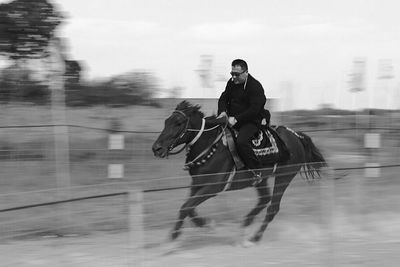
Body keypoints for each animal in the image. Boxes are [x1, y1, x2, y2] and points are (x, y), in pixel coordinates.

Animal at [152, 101, 326, 247]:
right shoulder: (197, 184)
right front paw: (205, 224)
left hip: (284, 177)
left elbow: (186, 207)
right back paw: (245, 225)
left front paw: (172, 238)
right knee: (264, 200)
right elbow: (189, 208)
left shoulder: (214, 187)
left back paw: (253, 238)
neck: (211, 146)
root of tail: (296, 136)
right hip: (261, 179)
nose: (156, 148)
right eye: (166, 121)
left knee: (272, 208)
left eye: (178, 123)